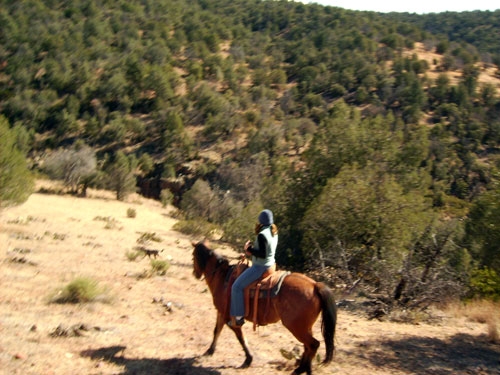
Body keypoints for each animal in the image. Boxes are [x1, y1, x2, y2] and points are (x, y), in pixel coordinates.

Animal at [191, 241, 336, 375]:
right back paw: (304, 369)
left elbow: (240, 337)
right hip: (305, 327)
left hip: (296, 327)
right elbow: (217, 330)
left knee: (313, 345)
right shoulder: (221, 312)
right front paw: (209, 351)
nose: (195, 274)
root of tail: (315, 285)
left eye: (193, 256)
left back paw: (300, 370)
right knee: (308, 347)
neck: (222, 277)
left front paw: (248, 359)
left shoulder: (230, 318)